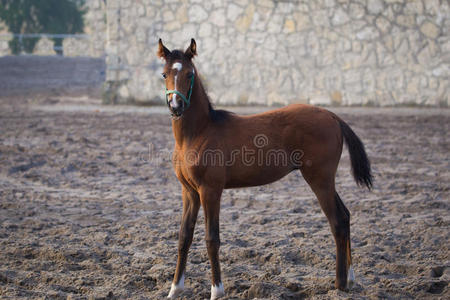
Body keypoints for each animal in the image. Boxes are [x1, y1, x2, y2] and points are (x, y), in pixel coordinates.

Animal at [158, 38, 372, 298]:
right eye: (164, 74)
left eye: (190, 74)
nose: (176, 106)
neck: (199, 133)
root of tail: (332, 116)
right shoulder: (189, 191)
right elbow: (184, 237)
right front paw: (175, 289)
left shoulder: (210, 191)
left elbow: (212, 239)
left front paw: (217, 291)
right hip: (325, 180)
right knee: (346, 215)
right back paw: (350, 278)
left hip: (319, 178)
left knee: (338, 220)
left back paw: (340, 284)